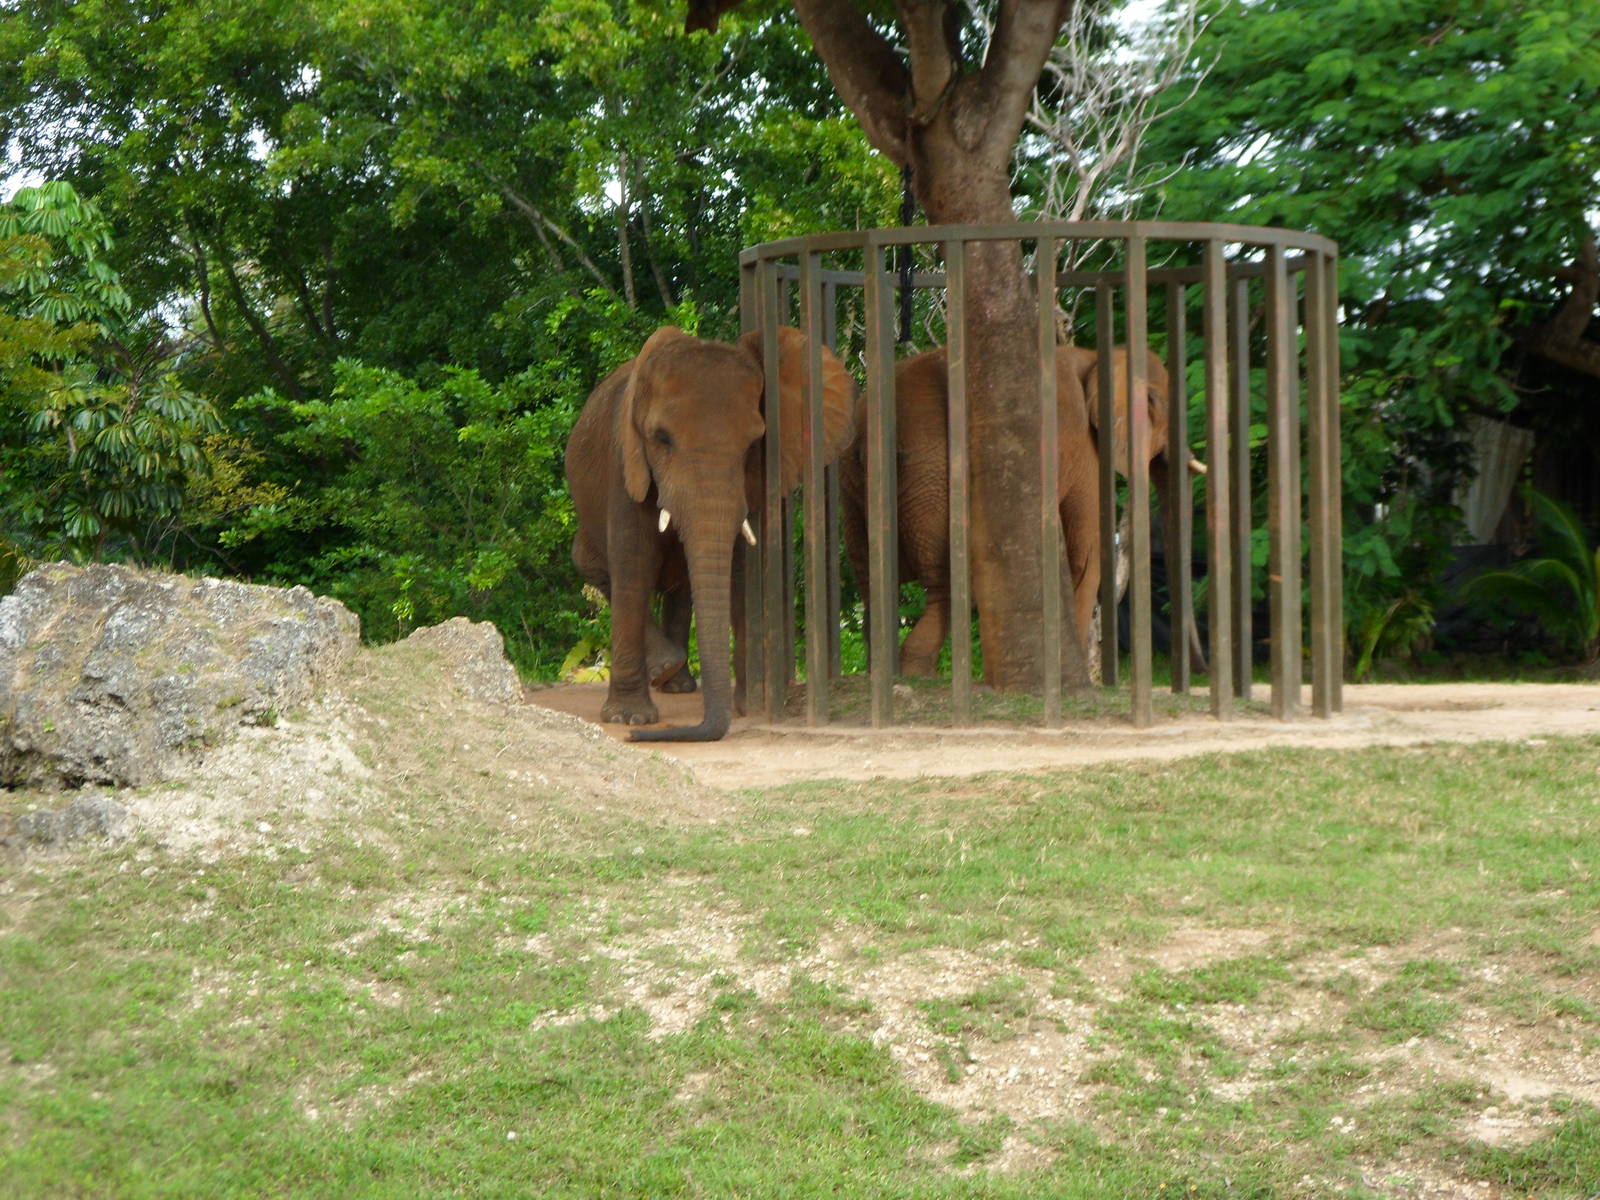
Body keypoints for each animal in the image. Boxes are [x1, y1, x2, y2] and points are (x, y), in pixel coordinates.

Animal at [565, 324, 855, 741]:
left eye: (753, 444)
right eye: (661, 438)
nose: (636, 740)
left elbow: (740, 570)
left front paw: (750, 705)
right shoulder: (626, 466)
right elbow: (634, 566)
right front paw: (629, 719)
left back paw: (677, 683)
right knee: (597, 568)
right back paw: (666, 670)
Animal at [840, 341, 1190, 677]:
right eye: (1159, 408)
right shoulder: (1084, 448)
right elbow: (1086, 552)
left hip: (858, 484)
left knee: (867, 577)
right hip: (931, 471)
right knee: (946, 584)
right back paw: (917, 673)